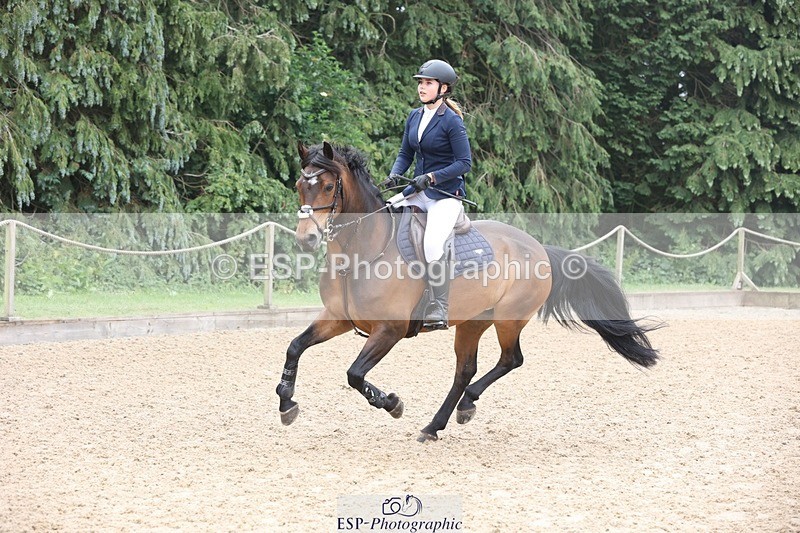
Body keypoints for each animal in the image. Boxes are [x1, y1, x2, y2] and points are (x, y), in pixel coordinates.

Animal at [276, 141, 659, 442]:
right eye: (299, 185)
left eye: (328, 187)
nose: (306, 238)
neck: (364, 250)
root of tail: (538, 248)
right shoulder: (338, 318)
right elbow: (295, 346)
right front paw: (286, 402)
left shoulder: (390, 329)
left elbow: (355, 374)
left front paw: (393, 404)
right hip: (473, 322)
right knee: (465, 370)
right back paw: (434, 426)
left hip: (509, 319)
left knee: (510, 360)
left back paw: (465, 406)